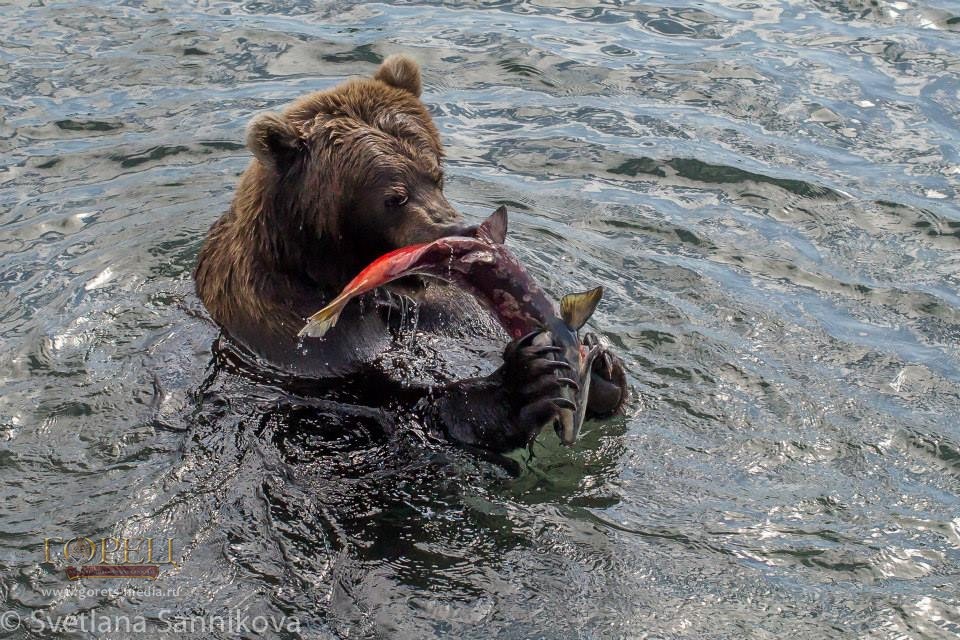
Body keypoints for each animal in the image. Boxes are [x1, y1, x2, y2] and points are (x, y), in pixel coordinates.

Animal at [196, 57, 632, 452]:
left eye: (436, 174)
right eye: (395, 197)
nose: (460, 230)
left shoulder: (450, 308)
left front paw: (603, 369)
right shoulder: (295, 339)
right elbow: (391, 407)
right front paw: (525, 382)